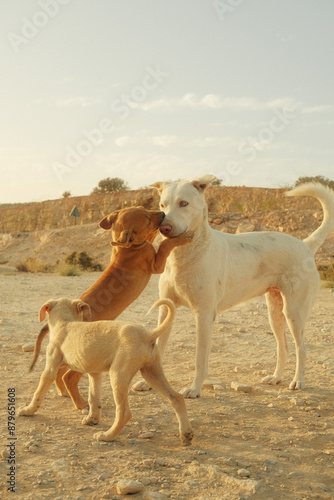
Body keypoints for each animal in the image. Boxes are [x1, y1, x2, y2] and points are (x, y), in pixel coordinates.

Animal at [31, 205, 194, 408]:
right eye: (148, 221)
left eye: (144, 208)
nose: (162, 214)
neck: (126, 249)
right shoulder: (156, 265)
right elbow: (165, 246)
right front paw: (181, 238)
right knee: (69, 377)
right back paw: (82, 405)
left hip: (69, 356)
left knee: (60, 373)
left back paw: (64, 393)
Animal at [133, 176, 334, 398]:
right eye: (162, 206)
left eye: (183, 203)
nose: (164, 228)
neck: (187, 254)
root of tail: (305, 244)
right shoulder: (166, 309)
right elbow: (158, 348)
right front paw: (148, 383)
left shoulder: (204, 315)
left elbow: (200, 359)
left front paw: (195, 388)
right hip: (275, 312)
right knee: (284, 347)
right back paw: (276, 377)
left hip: (294, 313)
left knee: (302, 349)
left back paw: (298, 381)